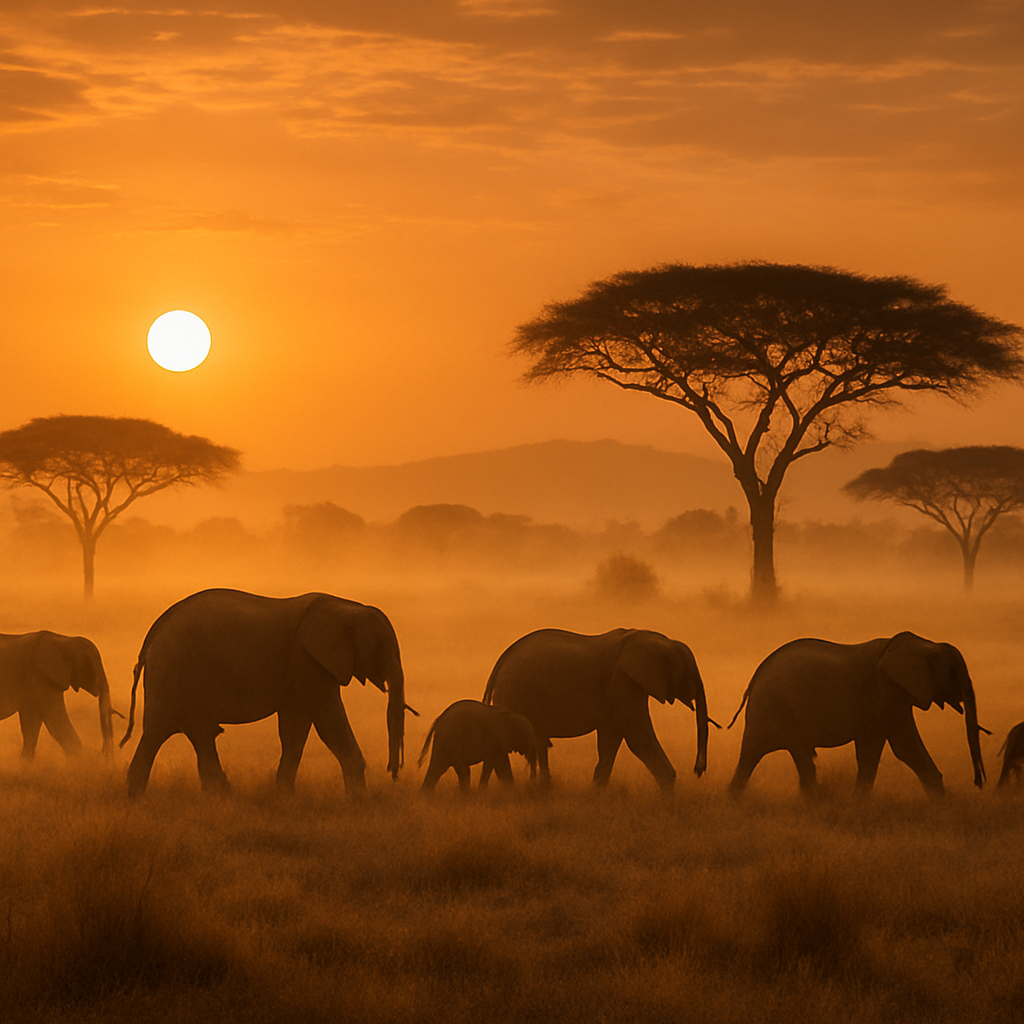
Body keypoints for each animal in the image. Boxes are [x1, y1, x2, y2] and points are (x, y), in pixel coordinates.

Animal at [0, 631, 115, 759]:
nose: (104, 751)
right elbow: (56, 720)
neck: (66, 640)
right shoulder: (41, 677)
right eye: (90, 664)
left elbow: (31, 723)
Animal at [120, 589, 412, 797]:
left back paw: (219, 797)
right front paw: (359, 800)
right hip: (173, 671)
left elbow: (301, 725)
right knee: (159, 733)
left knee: (197, 733)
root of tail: (155, 630)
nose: (394, 773)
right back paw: (136, 799)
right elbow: (324, 721)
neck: (347, 607)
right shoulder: (307, 662)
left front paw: (284, 795)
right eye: (382, 648)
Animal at [482, 627, 711, 794]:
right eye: (689, 672)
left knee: (537, 742)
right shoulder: (623, 682)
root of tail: (502, 660)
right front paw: (669, 794)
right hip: (515, 695)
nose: (698, 770)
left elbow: (612, 738)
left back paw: (542, 788)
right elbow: (636, 736)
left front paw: (598, 789)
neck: (649, 637)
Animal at [727, 631, 986, 797]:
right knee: (757, 753)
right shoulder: (885, 691)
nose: (979, 782)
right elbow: (898, 747)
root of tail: (756, 675)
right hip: (773, 707)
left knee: (784, 755)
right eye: (953, 672)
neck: (924, 644)